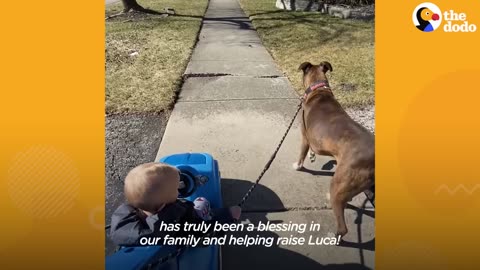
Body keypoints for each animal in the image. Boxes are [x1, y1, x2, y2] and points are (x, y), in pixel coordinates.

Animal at [292, 60, 376, 236]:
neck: (318, 89)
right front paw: (312, 156)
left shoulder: (305, 136)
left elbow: (302, 153)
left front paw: (298, 165)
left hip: (339, 182)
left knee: (343, 226)